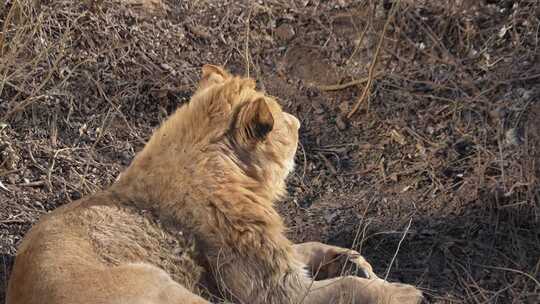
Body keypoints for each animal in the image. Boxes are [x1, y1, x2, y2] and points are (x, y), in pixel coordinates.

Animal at [6, 65, 424, 302]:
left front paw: (348, 258)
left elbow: (309, 249)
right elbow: (348, 287)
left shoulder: (278, 261)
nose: (299, 123)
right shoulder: (277, 292)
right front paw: (402, 292)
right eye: (281, 122)